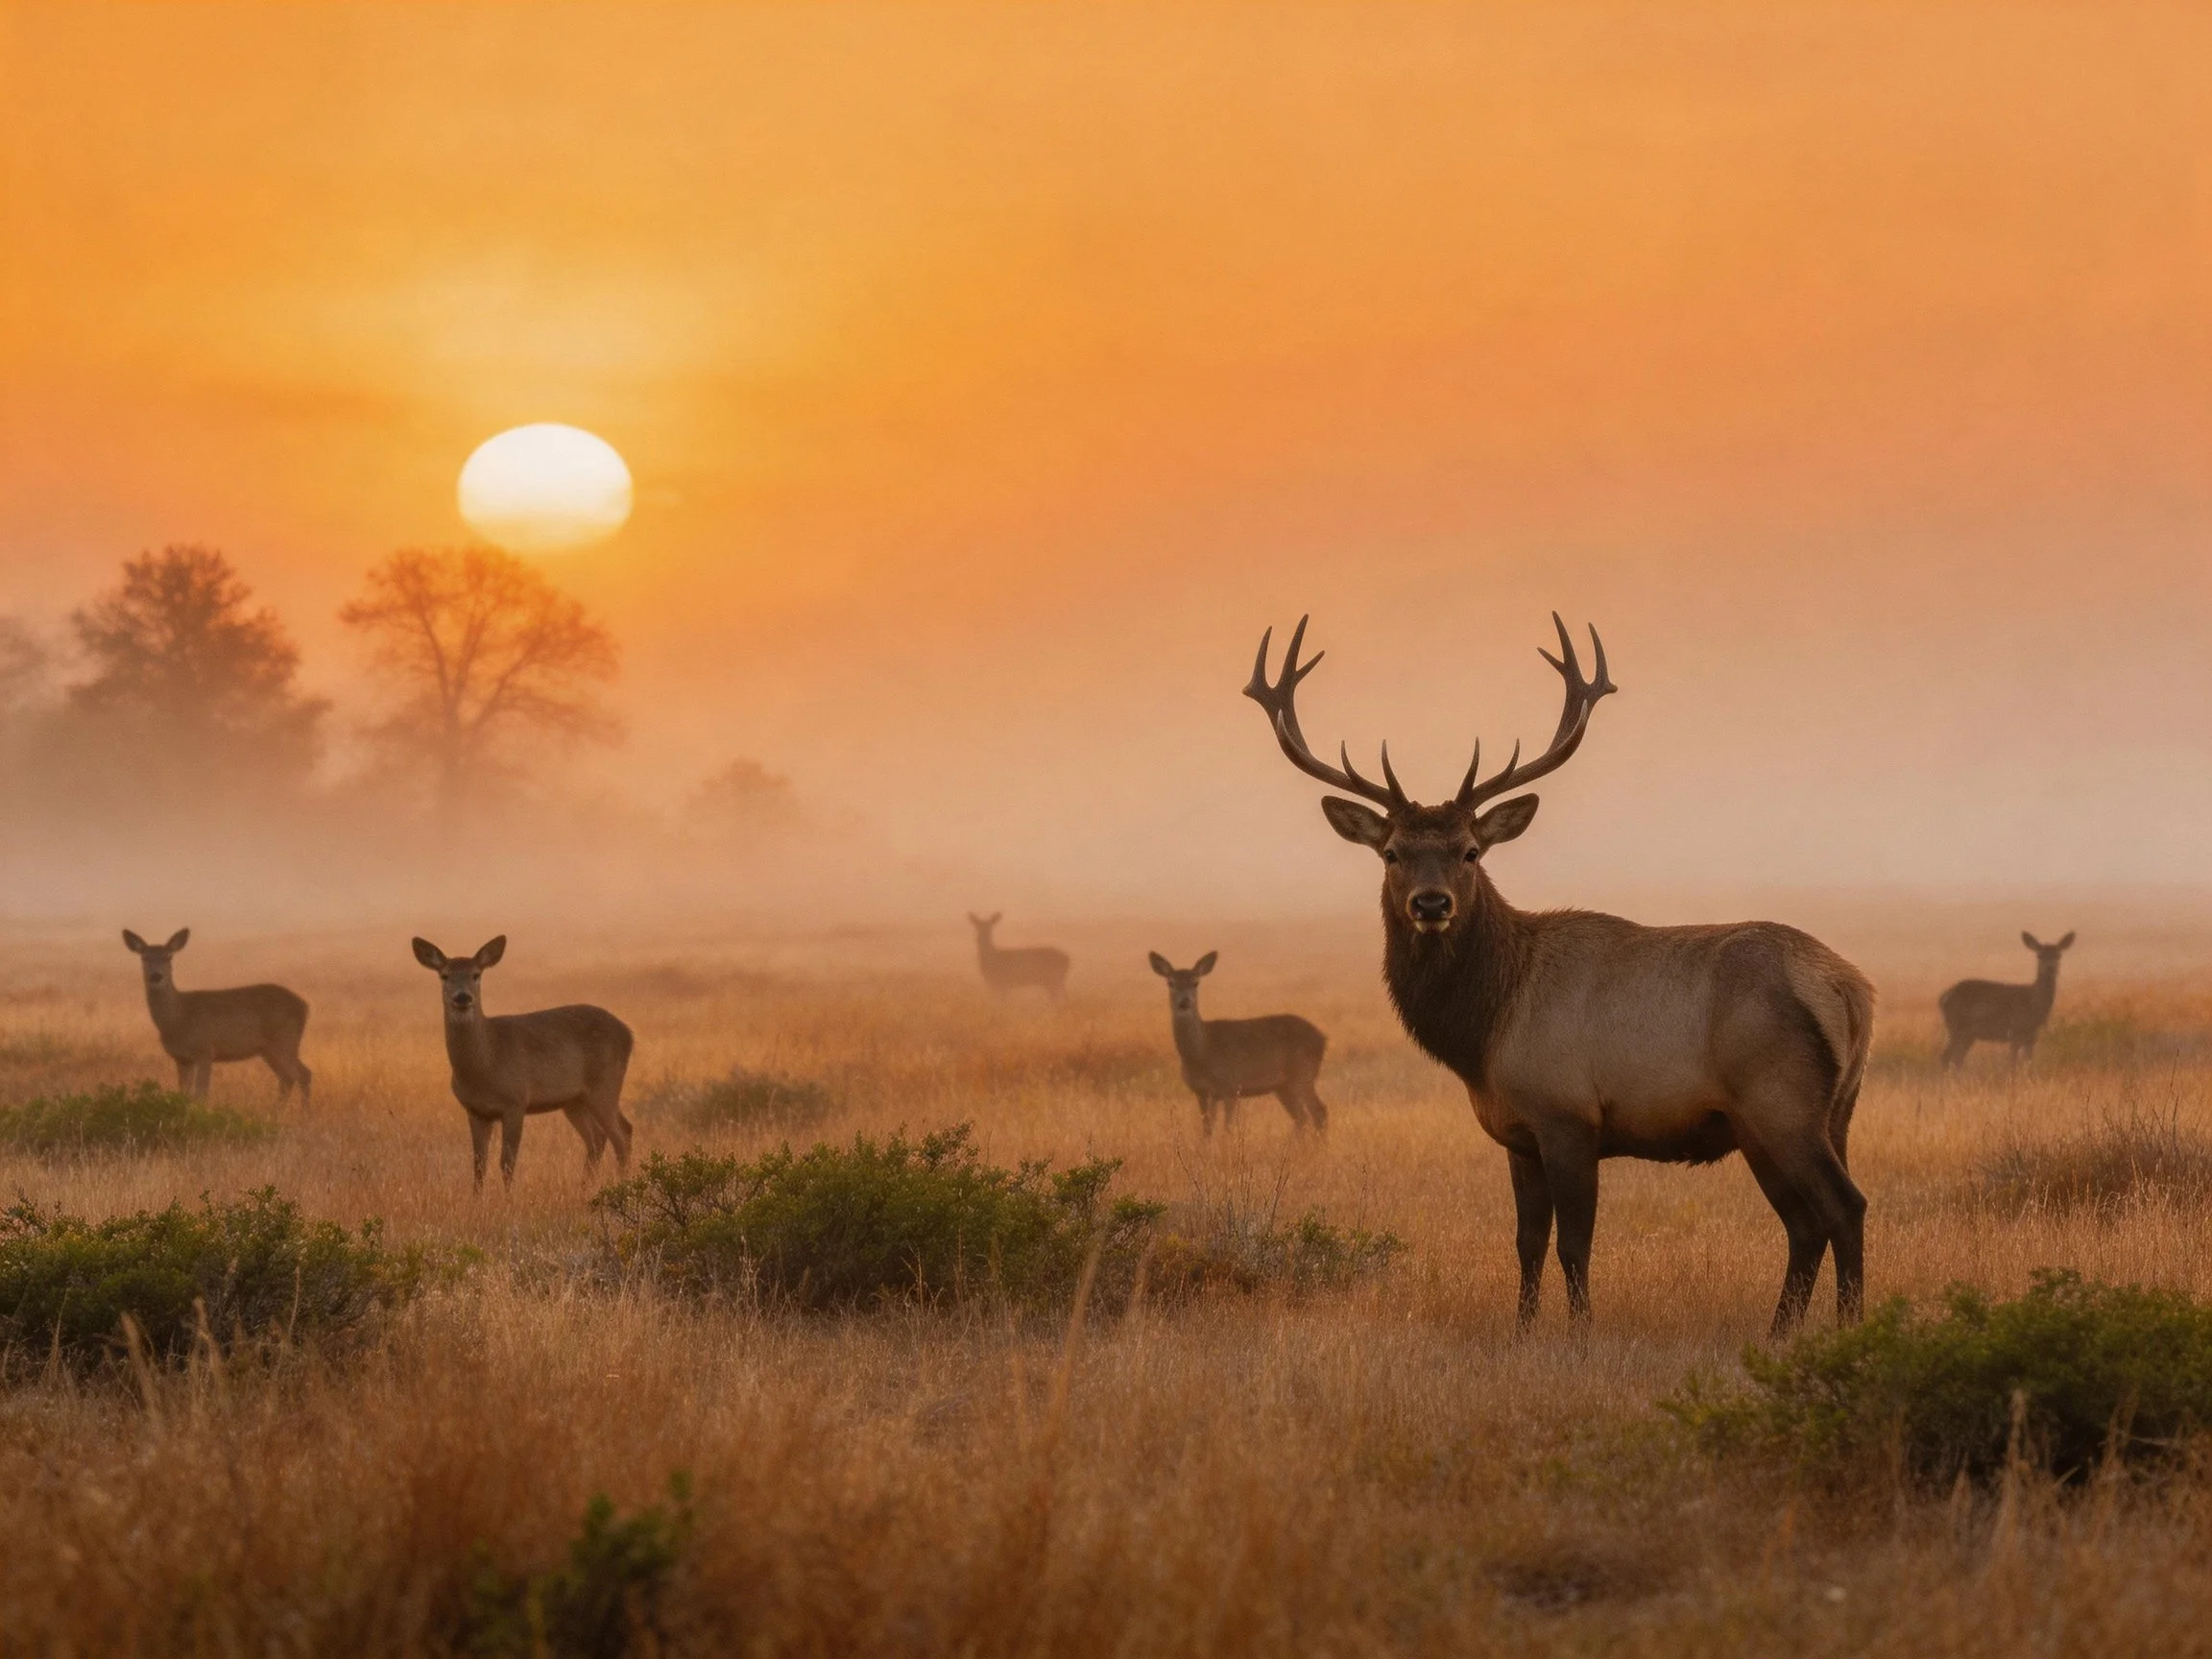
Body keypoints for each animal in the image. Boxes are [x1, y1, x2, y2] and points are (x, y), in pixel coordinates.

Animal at [121, 928, 312, 1105]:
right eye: (144, 958)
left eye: (169, 957)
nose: (156, 976)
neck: (179, 1017)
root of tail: (304, 1005)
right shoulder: (182, 1059)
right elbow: (183, 1095)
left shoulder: (205, 1050)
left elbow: (201, 1094)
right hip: (269, 1049)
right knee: (291, 1076)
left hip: (284, 1040)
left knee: (299, 1074)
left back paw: (299, 1115)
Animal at [411, 936, 634, 1192]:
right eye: (444, 975)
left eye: (476, 974)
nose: (463, 997)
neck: (486, 1063)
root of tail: (629, 1034)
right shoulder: (475, 1111)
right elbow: (479, 1165)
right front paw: (476, 1198)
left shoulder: (516, 1101)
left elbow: (507, 1162)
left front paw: (508, 1198)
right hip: (575, 1100)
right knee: (598, 1137)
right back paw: (585, 1187)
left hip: (605, 1084)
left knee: (622, 1134)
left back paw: (623, 1185)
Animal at [1148, 951, 1330, 1136]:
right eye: (1170, 982)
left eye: (1195, 982)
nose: (1184, 1001)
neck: (1203, 1052)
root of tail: (1322, 1037)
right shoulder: (1202, 1092)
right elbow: (1207, 1129)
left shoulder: (1231, 1087)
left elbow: (1227, 1128)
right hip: (1283, 1086)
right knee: (1302, 1117)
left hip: (1303, 1073)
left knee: (1319, 1111)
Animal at [1245, 614, 1874, 1335]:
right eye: (1392, 853)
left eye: (1470, 851)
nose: (1431, 904)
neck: (1484, 1032)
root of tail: (1853, 992)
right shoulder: (1518, 1134)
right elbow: (1527, 1243)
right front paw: (1522, 1332)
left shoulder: (1568, 1113)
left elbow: (1575, 1243)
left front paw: (1580, 1333)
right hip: (1810, 1115)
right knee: (1805, 1223)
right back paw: (1780, 1333)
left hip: (1781, 1100)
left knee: (1843, 1207)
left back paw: (1851, 1328)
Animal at [1939, 931, 2075, 1068]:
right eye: (2039, 955)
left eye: (2059, 955)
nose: (2050, 968)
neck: (2032, 1003)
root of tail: (1943, 998)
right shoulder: (2014, 1031)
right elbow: (2012, 1063)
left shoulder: (2032, 1036)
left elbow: (2029, 1064)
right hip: (1956, 1025)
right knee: (1948, 1057)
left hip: (1968, 1034)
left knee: (1956, 1058)